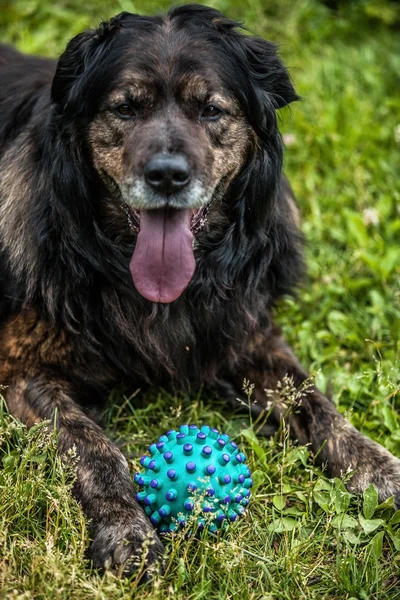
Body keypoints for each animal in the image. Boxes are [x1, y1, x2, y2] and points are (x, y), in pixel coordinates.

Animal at [0, 3, 400, 576]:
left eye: (211, 110)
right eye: (126, 108)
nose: (167, 176)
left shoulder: (248, 334)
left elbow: (317, 403)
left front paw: (380, 467)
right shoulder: (21, 368)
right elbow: (92, 446)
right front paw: (127, 530)